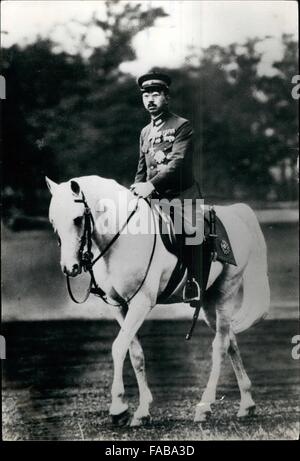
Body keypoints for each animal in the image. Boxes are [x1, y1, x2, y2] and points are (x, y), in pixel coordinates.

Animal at [46, 174, 270, 426]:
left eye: (77, 219)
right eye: (53, 221)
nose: (70, 268)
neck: (123, 237)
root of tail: (235, 213)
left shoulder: (141, 304)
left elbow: (118, 347)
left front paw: (118, 408)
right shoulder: (119, 307)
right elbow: (135, 353)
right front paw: (142, 410)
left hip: (225, 294)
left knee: (220, 346)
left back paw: (205, 406)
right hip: (209, 303)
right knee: (231, 342)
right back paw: (247, 404)